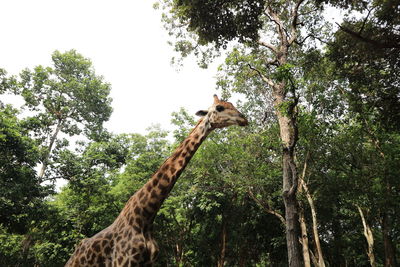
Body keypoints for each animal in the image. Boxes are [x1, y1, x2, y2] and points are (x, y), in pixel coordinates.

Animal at [65, 95, 247, 266]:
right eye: (219, 107)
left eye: (232, 104)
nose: (243, 118)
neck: (145, 217)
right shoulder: (124, 261)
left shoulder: (149, 262)